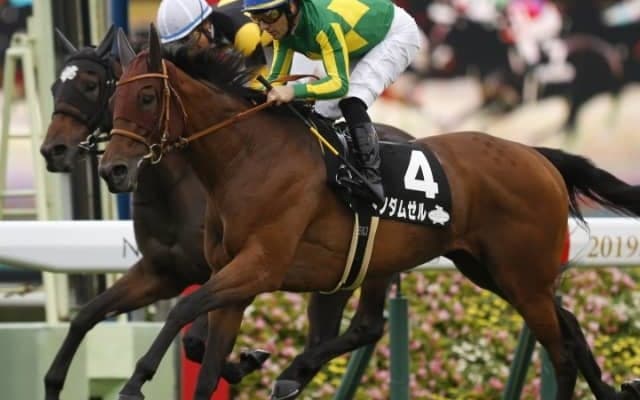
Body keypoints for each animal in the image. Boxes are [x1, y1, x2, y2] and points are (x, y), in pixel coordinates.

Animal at [40, 26, 414, 400]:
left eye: (91, 85)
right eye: (54, 87)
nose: (52, 150)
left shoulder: (232, 270)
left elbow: (194, 340)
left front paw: (243, 361)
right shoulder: (162, 271)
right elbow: (87, 315)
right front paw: (54, 380)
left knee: (363, 328)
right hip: (344, 272)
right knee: (346, 329)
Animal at [100, 25, 640, 400]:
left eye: (146, 96)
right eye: (113, 96)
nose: (113, 170)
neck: (247, 156)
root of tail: (536, 156)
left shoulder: (259, 267)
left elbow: (184, 310)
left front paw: (136, 380)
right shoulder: (234, 277)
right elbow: (205, 360)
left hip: (521, 276)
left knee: (561, 352)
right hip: (490, 270)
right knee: (569, 326)